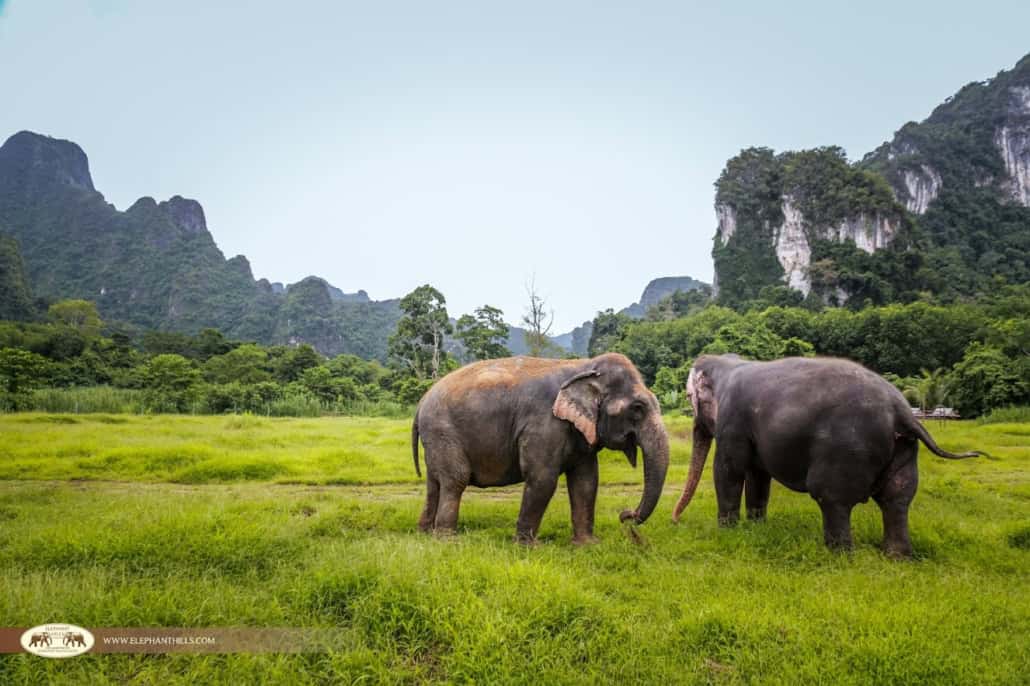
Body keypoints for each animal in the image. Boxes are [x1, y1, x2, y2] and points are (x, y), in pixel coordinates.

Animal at [412, 353, 669, 544]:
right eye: (637, 408)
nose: (626, 516)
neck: (584, 366)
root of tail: (422, 401)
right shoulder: (544, 423)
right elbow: (542, 478)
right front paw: (527, 547)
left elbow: (586, 481)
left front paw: (588, 545)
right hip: (443, 431)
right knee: (455, 480)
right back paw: (447, 540)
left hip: (435, 438)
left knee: (434, 484)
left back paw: (425, 533)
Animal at [672, 354, 984, 557]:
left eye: (688, 397)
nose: (674, 520)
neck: (727, 364)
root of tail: (903, 411)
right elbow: (759, 476)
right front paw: (755, 527)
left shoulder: (732, 421)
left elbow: (729, 470)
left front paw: (727, 531)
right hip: (904, 449)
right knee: (897, 499)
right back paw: (897, 557)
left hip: (845, 449)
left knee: (832, 498)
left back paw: (839, 555)